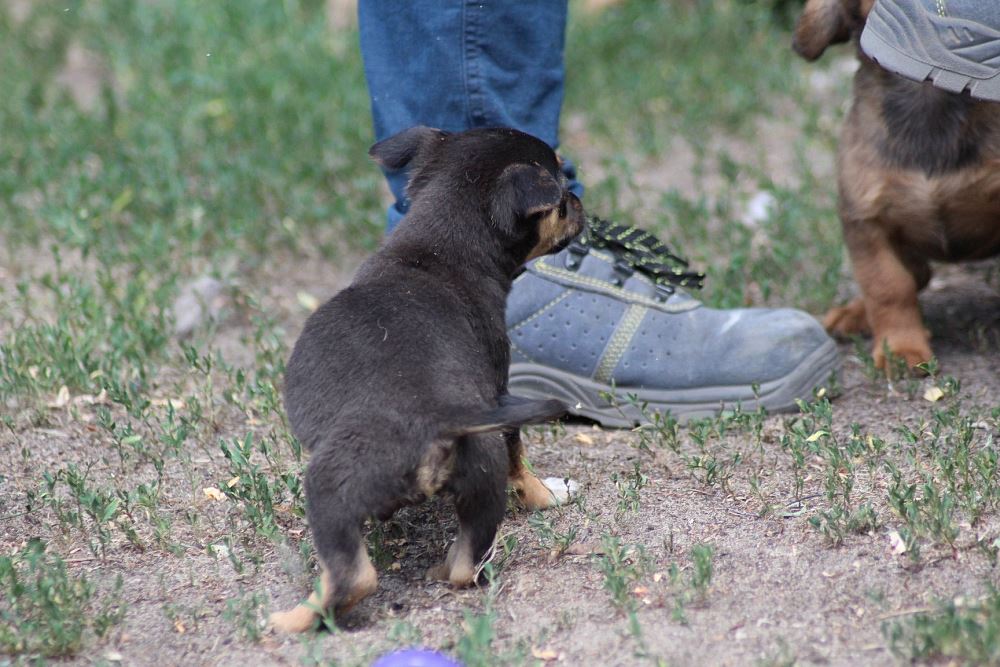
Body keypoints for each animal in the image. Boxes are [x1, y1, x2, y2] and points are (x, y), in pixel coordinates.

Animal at [268, 126, 584, 633]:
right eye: (559, 202)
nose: (578, 201)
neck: (435, 249)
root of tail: (439, 417)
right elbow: (519, 459)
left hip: (327, 486)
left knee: (353, 577)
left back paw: (291, 620)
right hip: (482, 474)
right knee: (466, 563)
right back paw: (443, 566)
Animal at [794, 0, 1000, 370]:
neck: (929, 92)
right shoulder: (866, 222)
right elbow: (888, 286)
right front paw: (900, 350)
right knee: (916, 275)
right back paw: (855, 314)